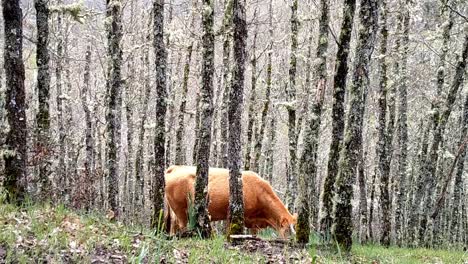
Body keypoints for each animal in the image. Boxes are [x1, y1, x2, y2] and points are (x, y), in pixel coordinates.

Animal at [165, 165, 296, 237]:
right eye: (287, 231)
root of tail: (175, 168)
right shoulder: (232, 214)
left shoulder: (254, 222)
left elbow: (254, 233)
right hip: (180, 209)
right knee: (181, 225)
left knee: (173, 225)